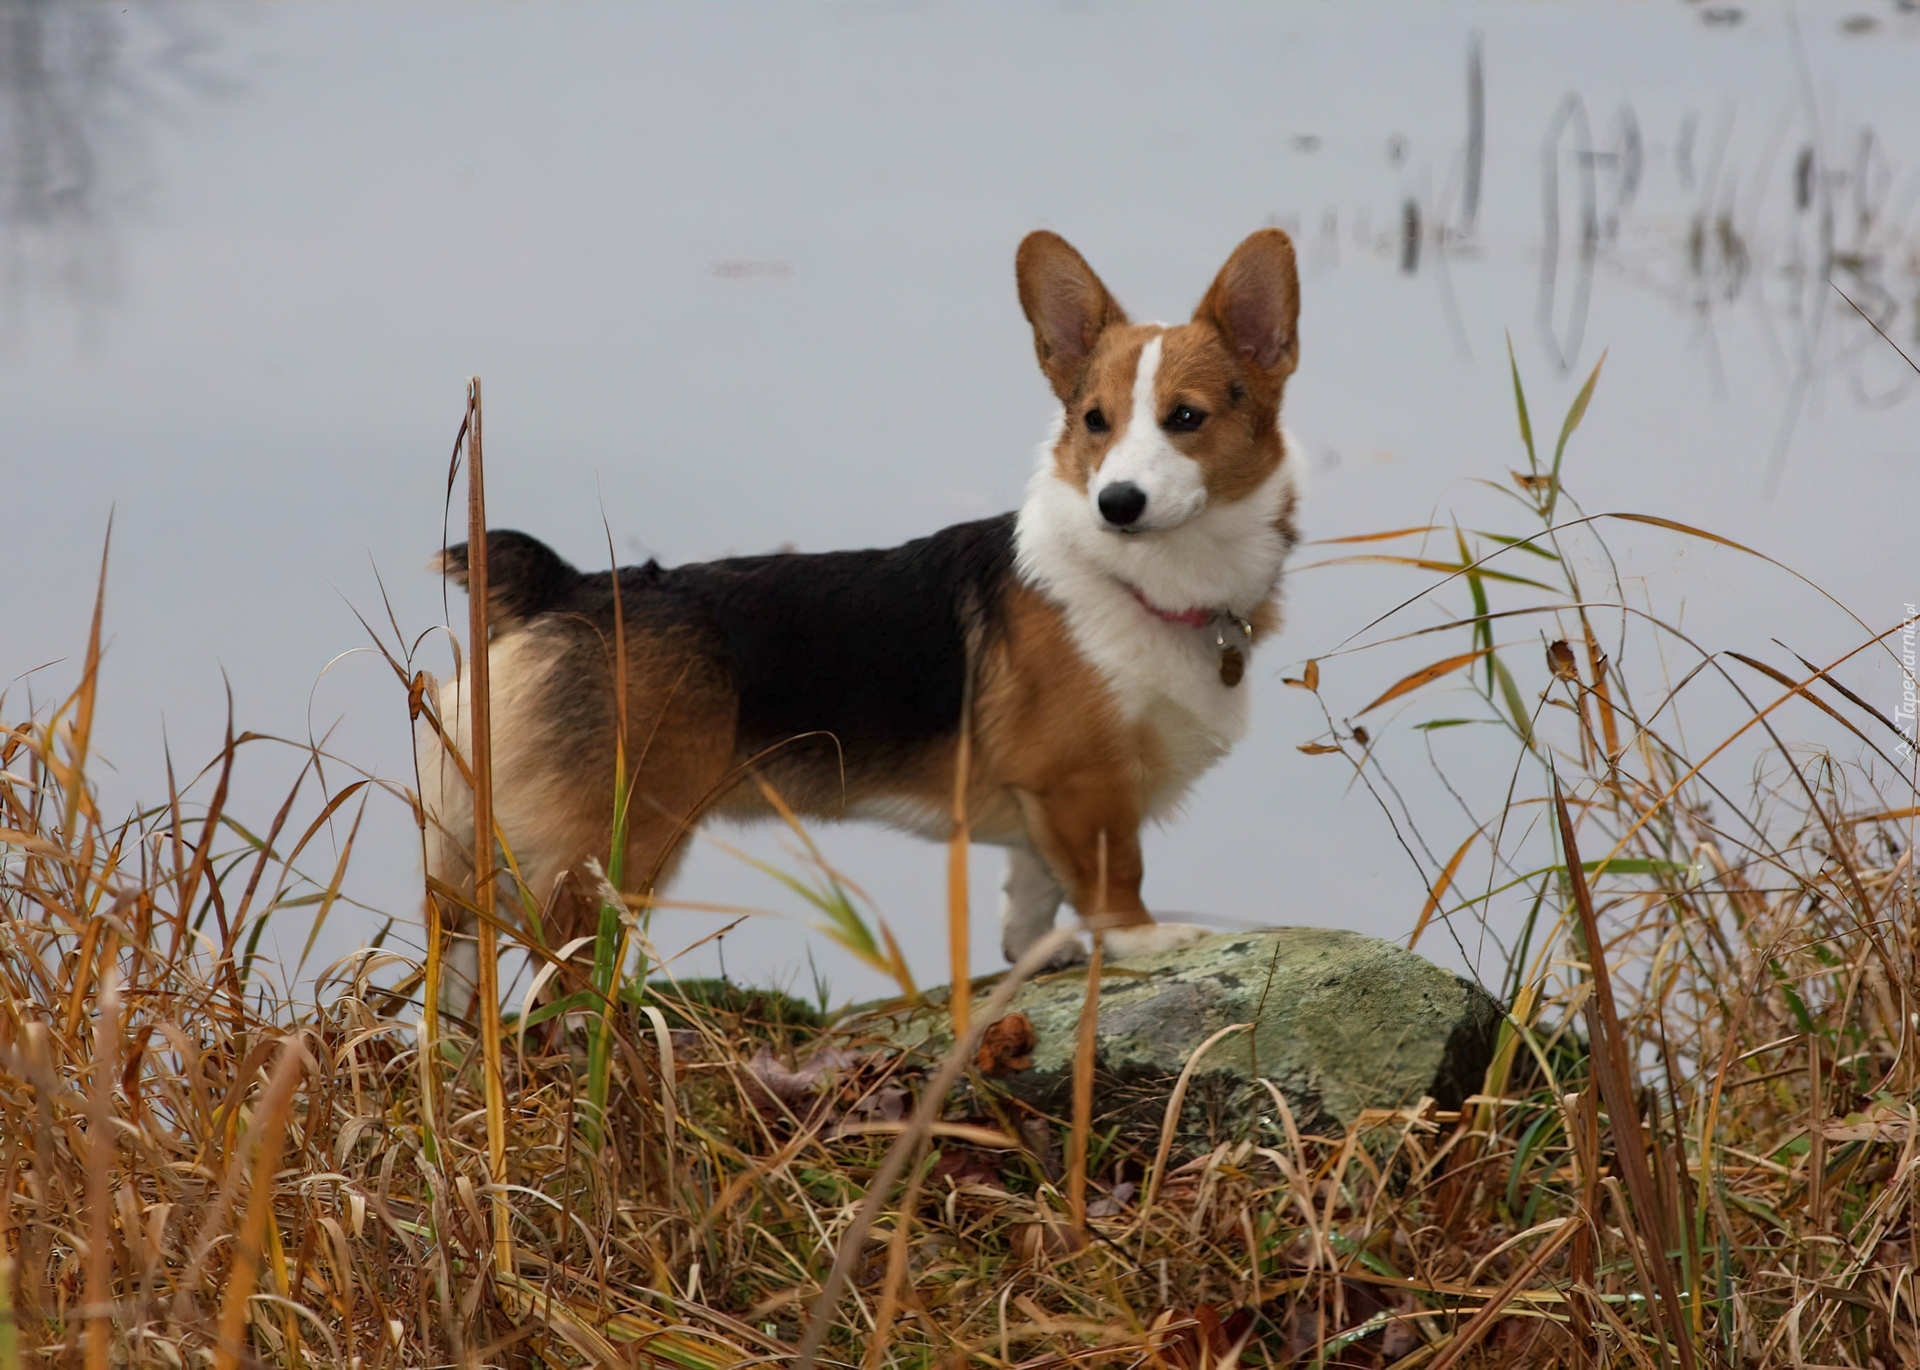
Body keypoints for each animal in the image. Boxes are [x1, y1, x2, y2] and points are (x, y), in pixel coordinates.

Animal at [426, 229, 1297, 1005]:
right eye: (1095, 421)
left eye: (1186, 418)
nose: (1118, 503)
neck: (1132, 578)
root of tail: (562, 589)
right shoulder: (1084, 786)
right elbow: (1114, 878)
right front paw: (1146, 938)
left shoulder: (1040, 805)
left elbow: (1031, 893)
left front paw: (1034, 954)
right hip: (611, 850)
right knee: (558, 971)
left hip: (471, 852)